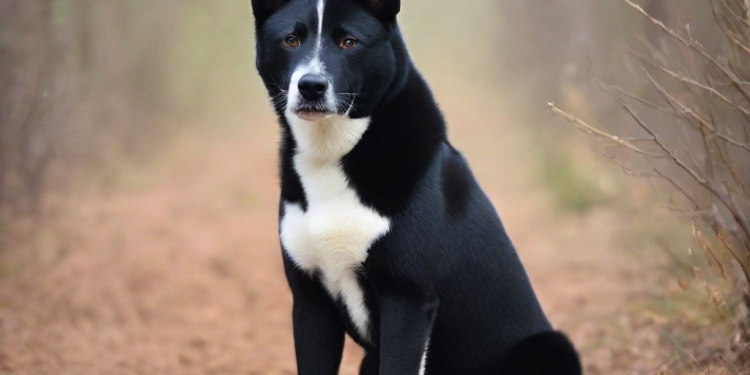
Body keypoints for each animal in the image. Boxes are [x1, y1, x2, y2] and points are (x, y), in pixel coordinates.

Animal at [250, 1, 584, 374]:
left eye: (349, 42)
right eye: (291, 40)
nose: (311, 85)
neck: (334, 154)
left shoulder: (407, 298)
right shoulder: (310, 300)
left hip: (550, 346)